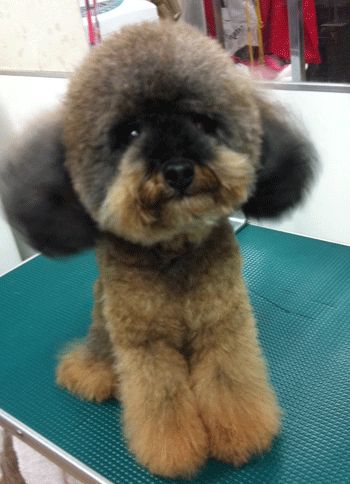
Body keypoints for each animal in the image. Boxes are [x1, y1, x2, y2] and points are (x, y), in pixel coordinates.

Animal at [0, 20, 318, 478]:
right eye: (131, 132)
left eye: (201, 122)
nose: (179, 170)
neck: (174, 252)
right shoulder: (147, 344)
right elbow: (162, 400)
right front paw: (174, 451)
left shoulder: (223, 326)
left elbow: (231, 383)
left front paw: (241, 434)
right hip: (104, 316)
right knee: (97, 349)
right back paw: (92, 372)